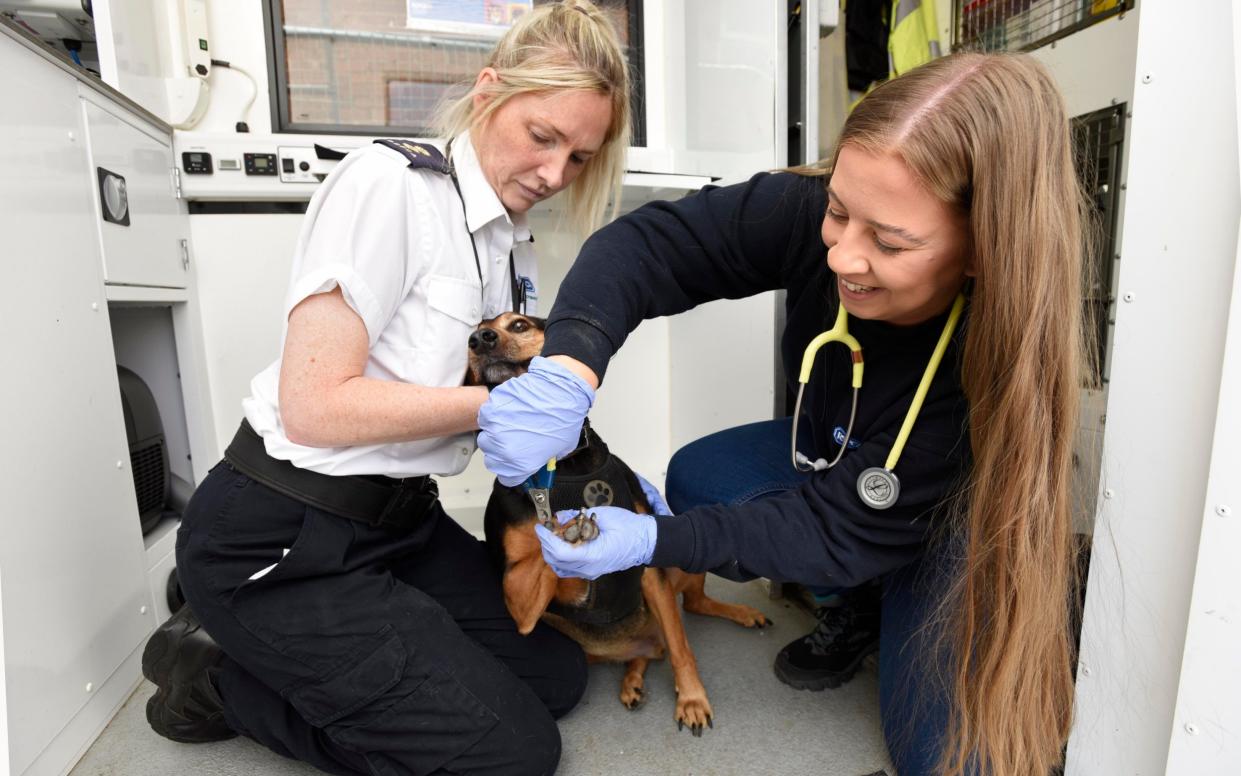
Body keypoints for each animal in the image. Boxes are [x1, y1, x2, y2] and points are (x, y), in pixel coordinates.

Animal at [466, 310, 769, 730]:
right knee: (653, 646)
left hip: (678, 554)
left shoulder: (651, 564)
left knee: (688, 612)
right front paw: (570, 530)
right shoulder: (516, 597)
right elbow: (547, 550)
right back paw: (632, 682)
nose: (479, 339)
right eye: (472, 333)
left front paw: (692, 699)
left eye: (520, 325)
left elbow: (682, 648)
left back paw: (742, 615)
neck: (561, 467)